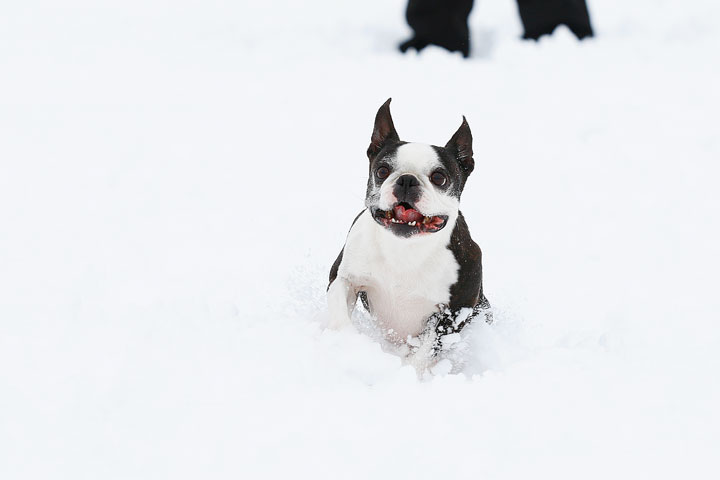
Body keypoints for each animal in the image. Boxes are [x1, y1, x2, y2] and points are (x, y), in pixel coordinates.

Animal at [326, 99, 490, 366]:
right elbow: (340, 316)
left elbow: (424, 351)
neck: (405, 248)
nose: (406, 180)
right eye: (382, 171)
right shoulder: (343, 279)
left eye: (439, 177)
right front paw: (349, 348)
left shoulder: (454, 312)